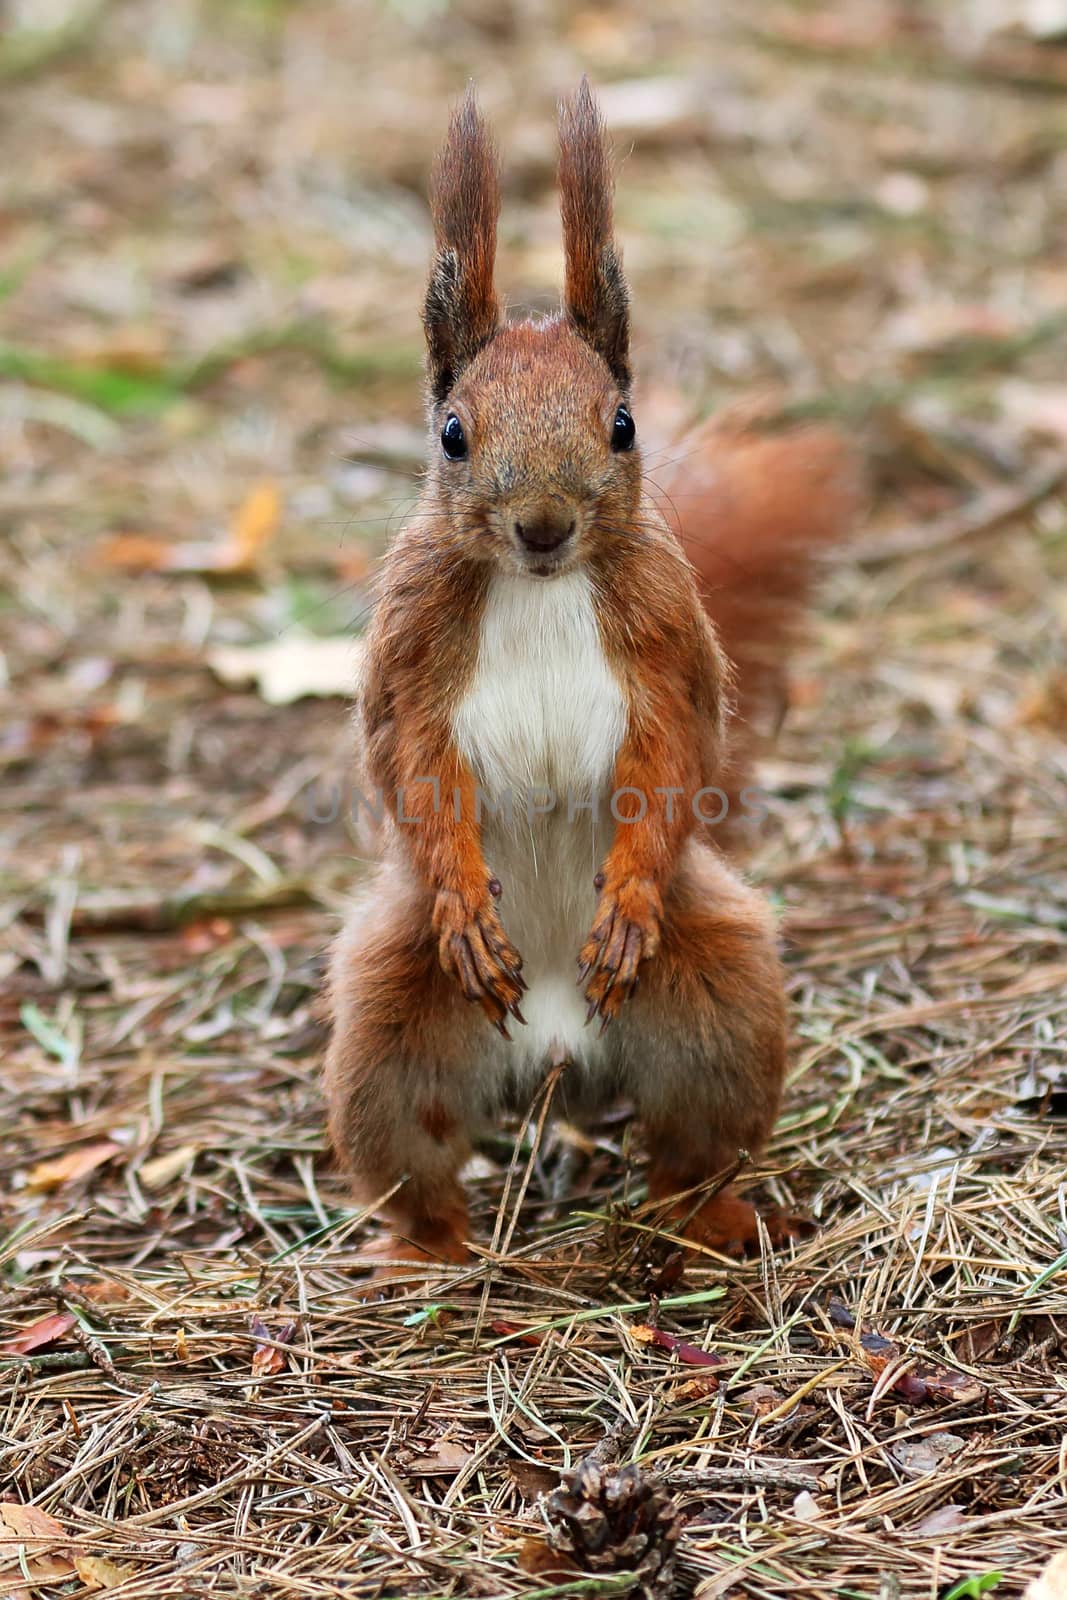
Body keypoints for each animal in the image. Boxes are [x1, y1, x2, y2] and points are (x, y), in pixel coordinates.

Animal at [321, 84, 857, 1260]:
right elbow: (412, 767)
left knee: (695, 1134)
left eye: (622, 424)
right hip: (391, 1024)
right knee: (411, 1152)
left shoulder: (663, 641)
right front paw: (465, 900)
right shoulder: (412, 650)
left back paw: (711, 1216)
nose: (542, 526)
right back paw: (420, 1252)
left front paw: (624, 897)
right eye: (452, 433)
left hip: (720, 998)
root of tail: (560, 1061)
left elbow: (673, 756)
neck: (536, 588)